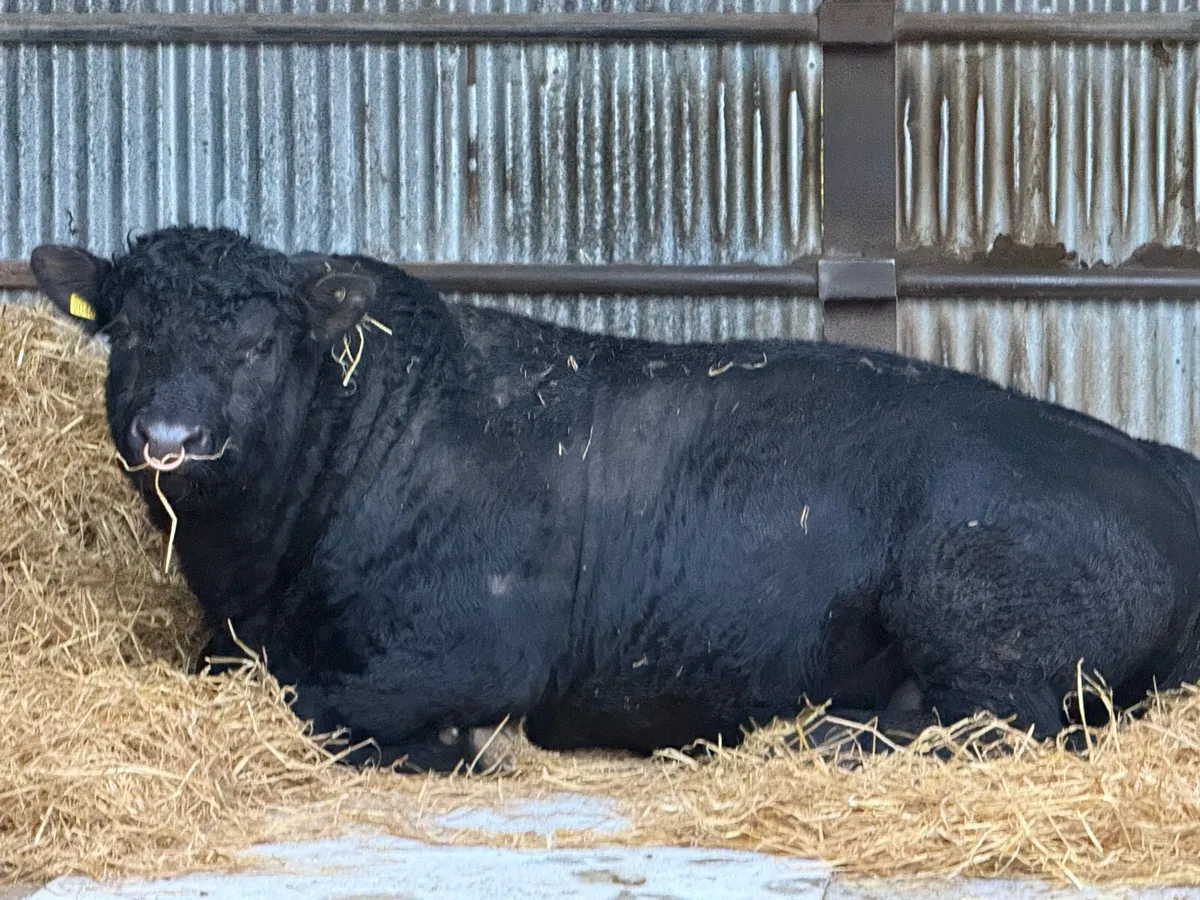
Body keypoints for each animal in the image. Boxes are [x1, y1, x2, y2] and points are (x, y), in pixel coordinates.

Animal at [28, 225, 1200, 772]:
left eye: (258, 344)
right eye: (129, 331)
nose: (171, 440)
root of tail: (1153, 462)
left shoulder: (468, 646)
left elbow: (317, 703)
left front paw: (462, 749)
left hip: (982, 602)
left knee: (1004, 723)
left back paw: (822, 736)